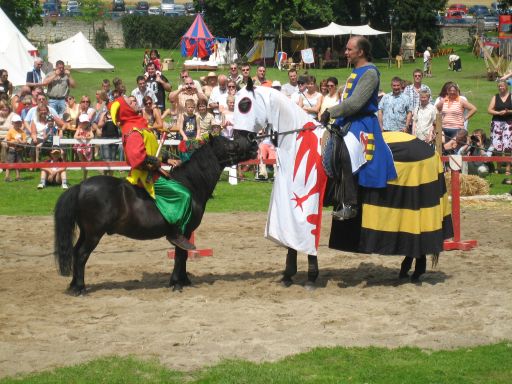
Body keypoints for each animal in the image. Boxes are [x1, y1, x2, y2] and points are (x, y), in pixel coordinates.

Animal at [54, 134, 258, 296]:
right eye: (230, 144)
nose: (253, 143)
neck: (190, 184)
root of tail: (80, 186)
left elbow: (183, 255)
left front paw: (183, 280)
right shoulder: (183, 232)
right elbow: (180, 256)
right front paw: (176, 283)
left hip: (85, 233)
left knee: (75, 252)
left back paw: (73, 285)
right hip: (94, 234)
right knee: (81, 255)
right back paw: (80, 288)